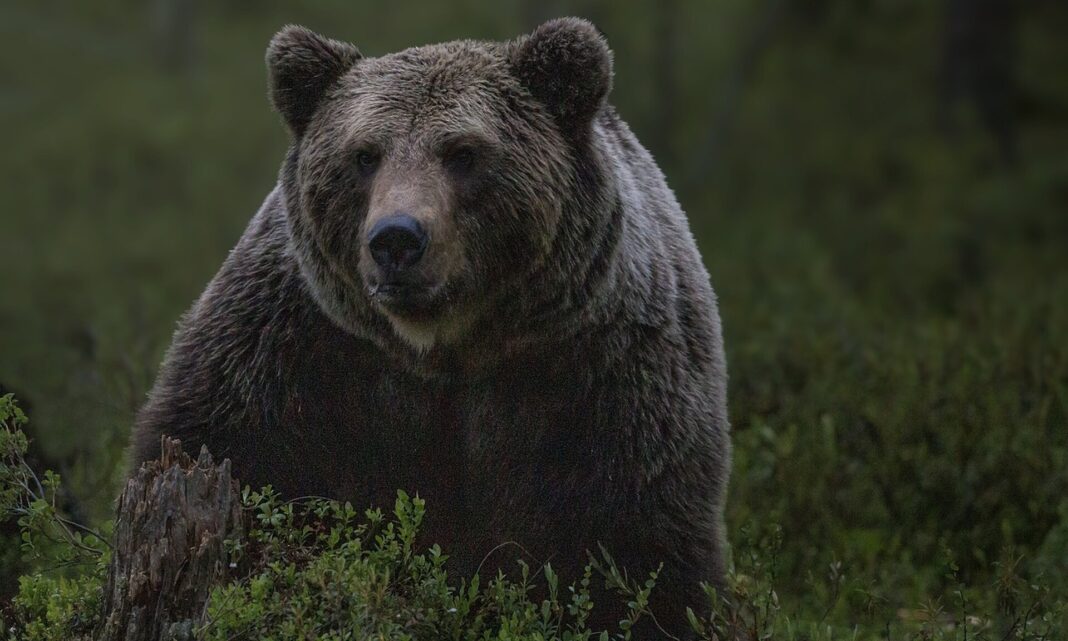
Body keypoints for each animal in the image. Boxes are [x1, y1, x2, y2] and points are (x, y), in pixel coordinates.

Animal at [131, 18, 734, 636]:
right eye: (365, 154)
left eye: (463, 152)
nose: (397, 239)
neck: (445, 347)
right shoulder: (293, 348)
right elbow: (228, 447)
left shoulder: (602, 374)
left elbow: (637, 545)